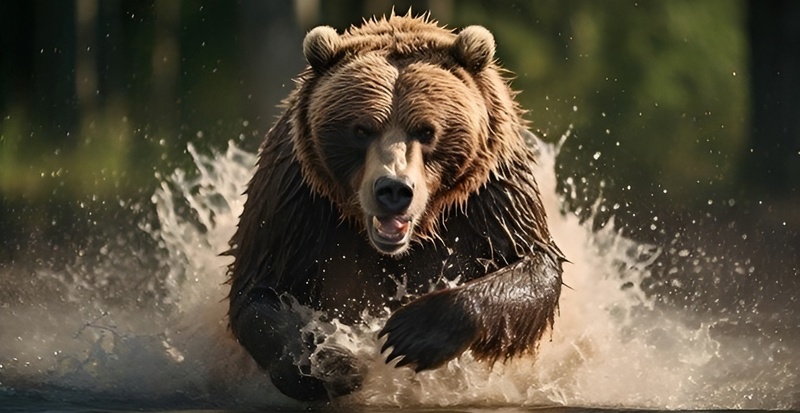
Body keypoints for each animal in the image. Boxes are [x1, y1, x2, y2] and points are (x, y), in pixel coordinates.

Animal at [226, 14, 565, 402]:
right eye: (361, 129)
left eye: (427, 130)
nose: (393, 189)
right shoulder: (296, 200)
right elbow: (258, 291)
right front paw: (334, 363)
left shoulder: (490, 196)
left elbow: (534, 265)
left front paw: (409, 333)